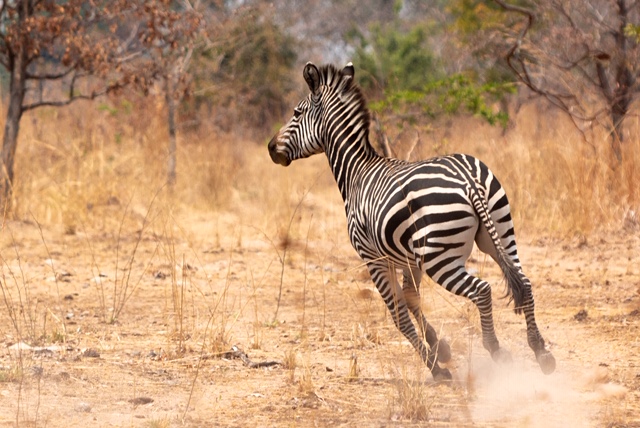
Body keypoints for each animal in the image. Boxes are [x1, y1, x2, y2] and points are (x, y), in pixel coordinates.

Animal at [268, 61, 552, 380]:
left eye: (296, 113)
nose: (270, 148)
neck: (355, 173)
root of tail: (467, 180)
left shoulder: (373, 257)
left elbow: (399, 313)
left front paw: (434, 366)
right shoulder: (408, 258)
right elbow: (412, 299)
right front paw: (440, 347)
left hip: (439, 259)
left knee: (482, 290)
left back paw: (496, 350)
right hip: (499, 232)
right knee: (525, 282)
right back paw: (541, 350)